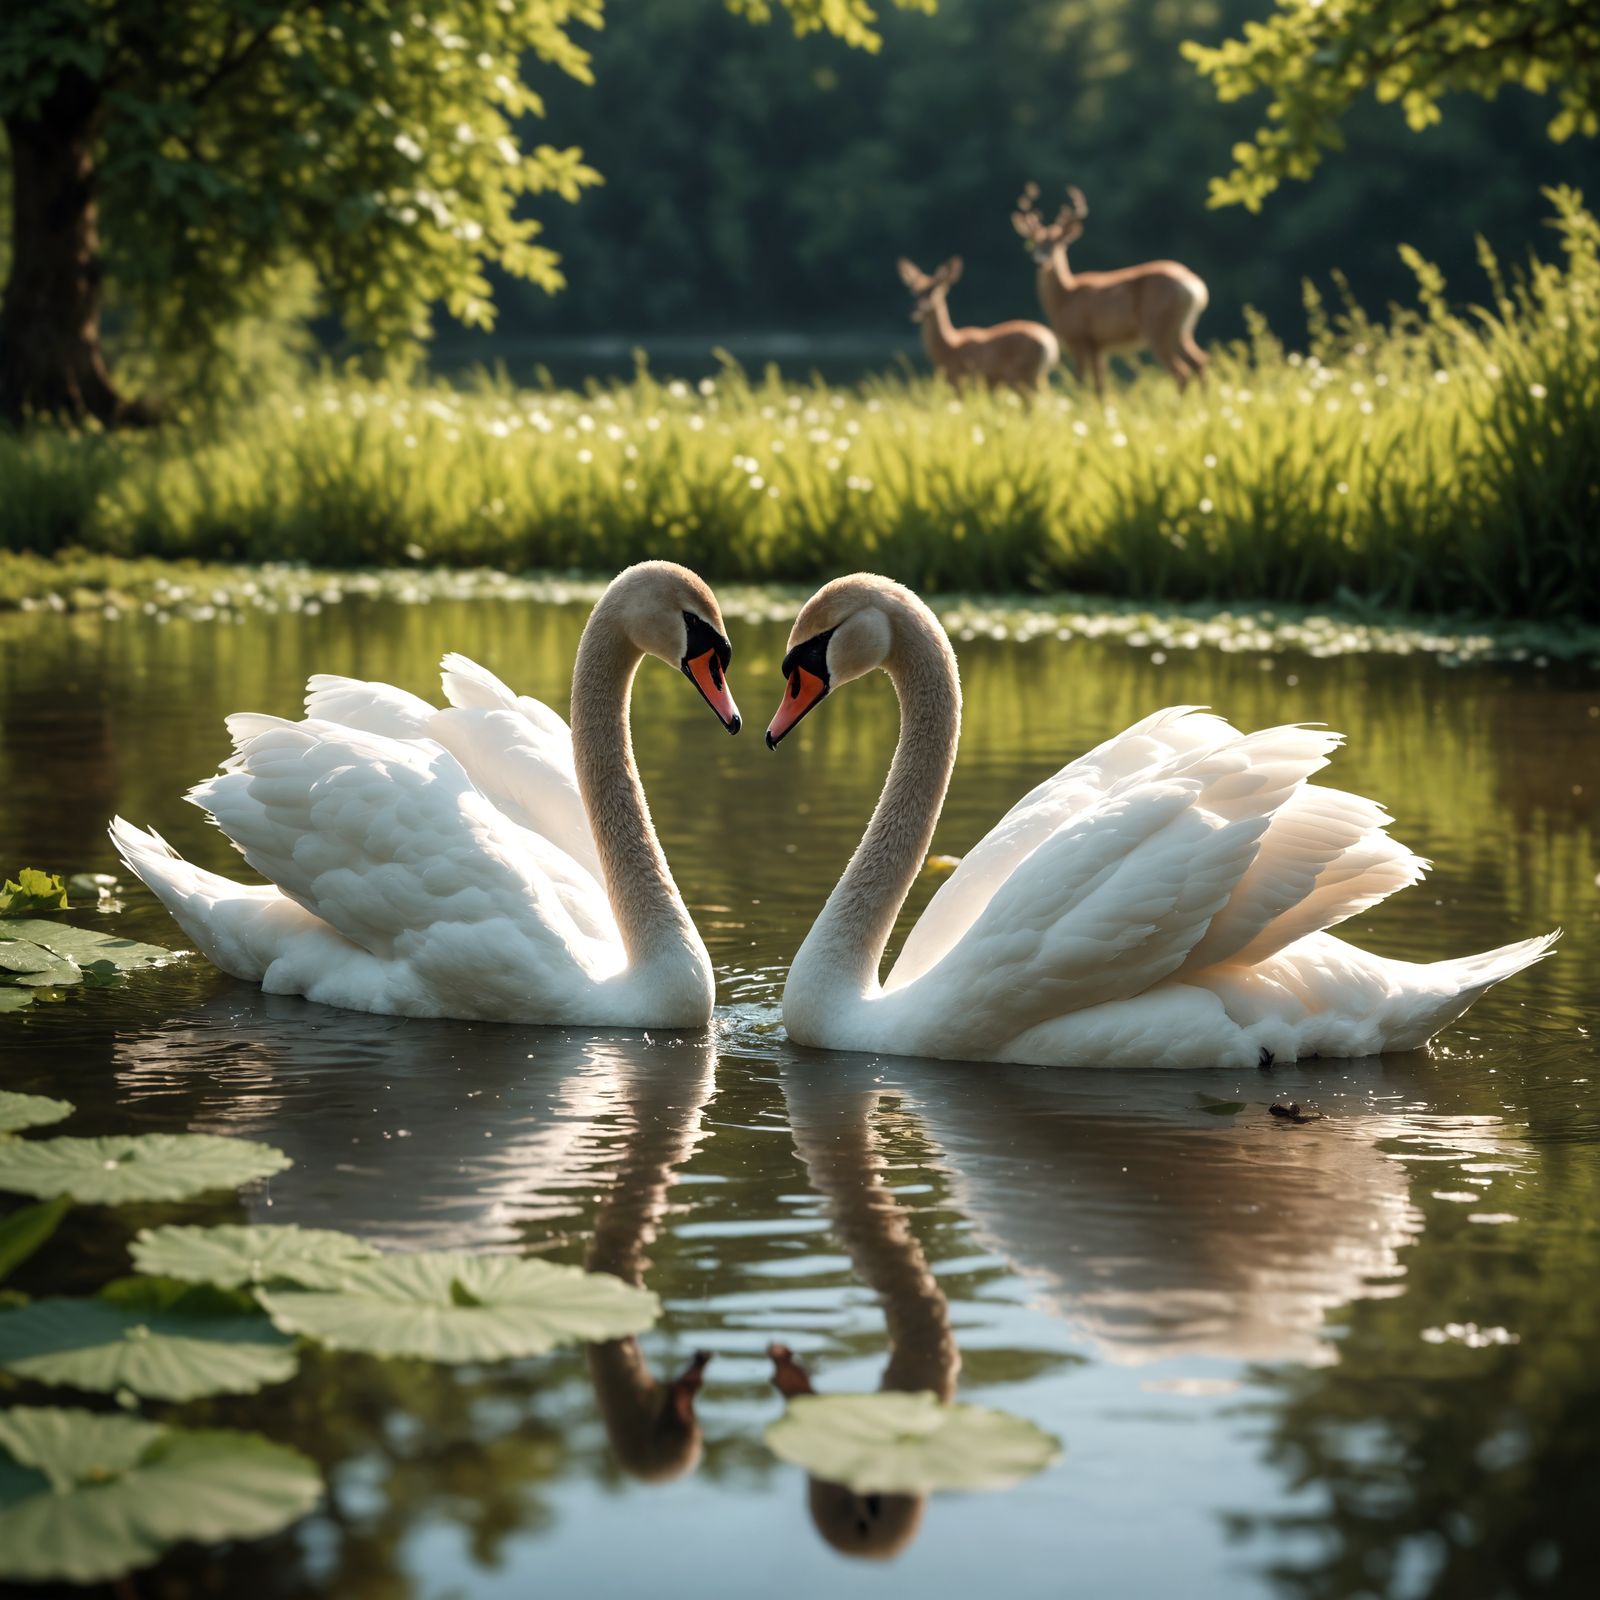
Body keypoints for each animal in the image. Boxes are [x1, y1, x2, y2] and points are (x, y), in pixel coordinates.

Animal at [896, 256, 1059, 398]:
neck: (949, 345)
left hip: (1020, 375)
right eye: (913, 291)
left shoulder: (958, 379)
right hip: (1038, 376)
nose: (914, 310)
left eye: (933, 291)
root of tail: (1050, 343)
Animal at [1012, 182, 1209, 397]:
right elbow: (1100, 387)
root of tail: (1192, 284)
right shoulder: (1099, 346)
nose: (1039, 261)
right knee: (1199, 361)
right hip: (1181, 330)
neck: (1065, 296)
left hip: (1158, 326)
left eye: (1057, 244)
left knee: (1181, 371)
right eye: (1034, 241)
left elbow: (1080, 383)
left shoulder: (1079, 340)